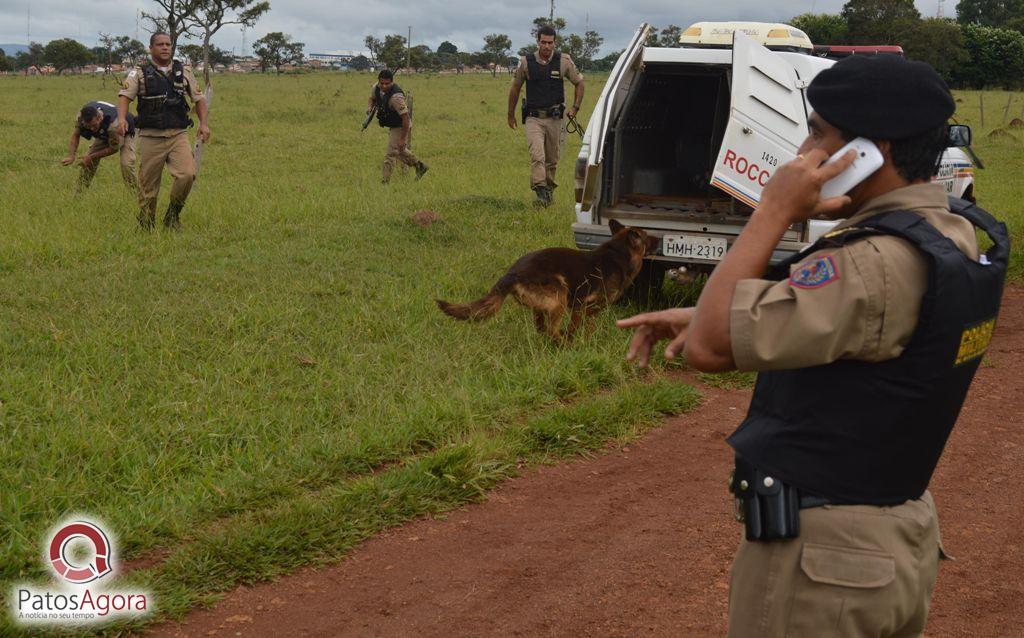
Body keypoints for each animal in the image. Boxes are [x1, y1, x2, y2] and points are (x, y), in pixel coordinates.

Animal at [436, 219, 659, 342]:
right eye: (647, 236)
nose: (659, 239)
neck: (619, 252)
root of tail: (511, 273)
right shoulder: (580, 306)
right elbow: (577, 327)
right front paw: (576, 341)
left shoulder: (587, 310)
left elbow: (589, 326)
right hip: (559, 296)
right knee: (551, 330)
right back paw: (564, 344)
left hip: (541, 306)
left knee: (542, 329)